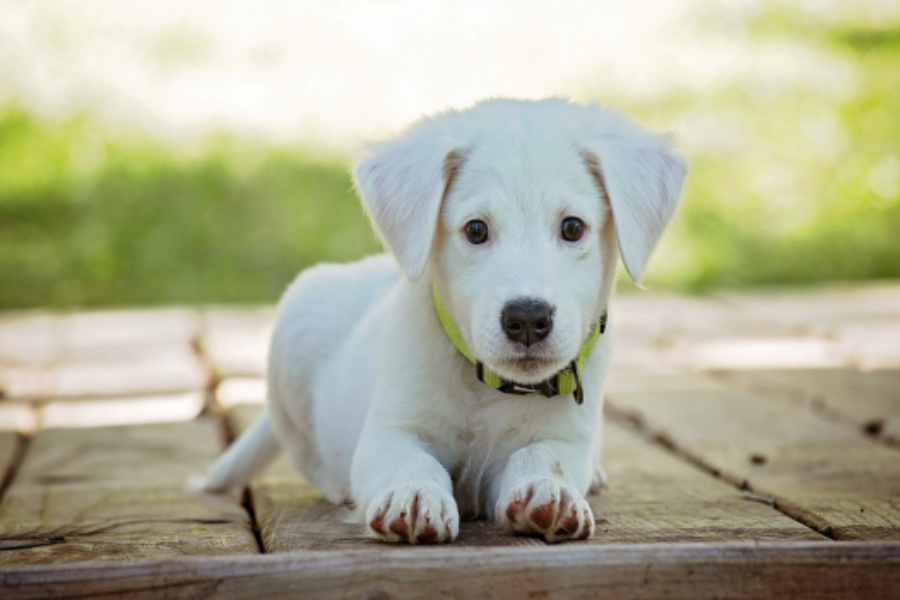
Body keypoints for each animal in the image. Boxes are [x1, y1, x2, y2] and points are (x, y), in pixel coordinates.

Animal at [202, 98, 684, 544]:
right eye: (475, 230)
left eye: (572, 227)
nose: (528, 318)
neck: (485, 385)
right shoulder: (390, 431)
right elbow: (411, 460)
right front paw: (414, 495)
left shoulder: (567, 438)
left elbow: (543, 456)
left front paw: (548, 491)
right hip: (298, 327)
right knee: (309, 457)